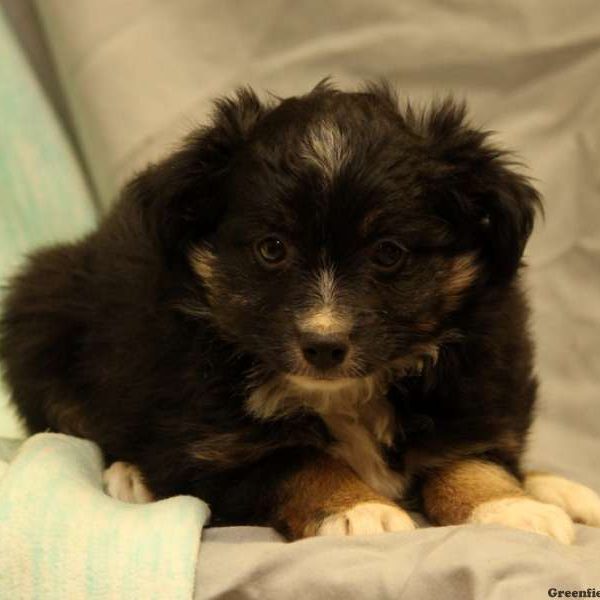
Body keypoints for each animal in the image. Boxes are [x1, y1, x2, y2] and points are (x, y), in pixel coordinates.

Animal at [1, 77, 600, 540]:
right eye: (272, 248)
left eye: (388, 253)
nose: (323, 346)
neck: (345, 394)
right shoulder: (213, 445)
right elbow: (301, 461)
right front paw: (362, 511)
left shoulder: (475, 389)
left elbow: (468, 457)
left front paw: (510, 507)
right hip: (42, 306)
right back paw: (130, 475)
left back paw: (559, 490)